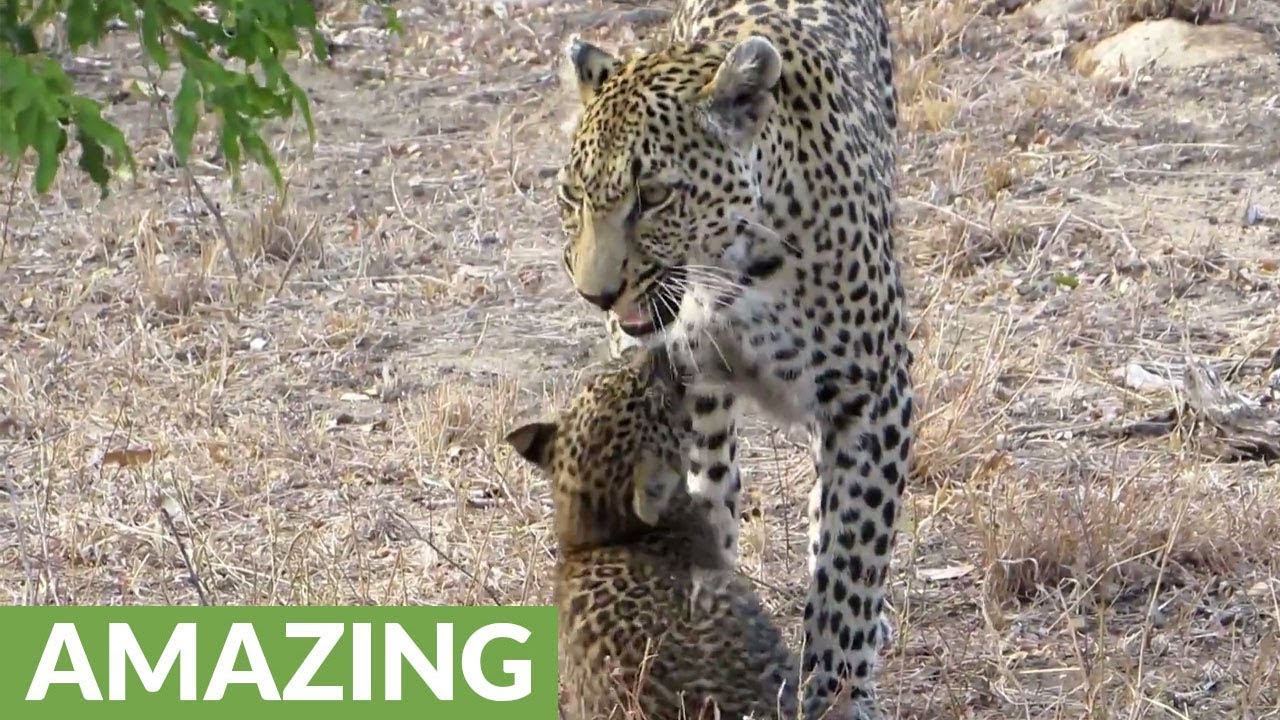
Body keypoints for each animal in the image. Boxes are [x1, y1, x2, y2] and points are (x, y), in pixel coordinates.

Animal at [549, 1, 913, 718]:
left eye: (655, 196)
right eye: (572, 197)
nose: (594, 293)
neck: (731, 276)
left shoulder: (871, 396)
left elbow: (851, 562)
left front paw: (837, 692)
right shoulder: (668, 384)